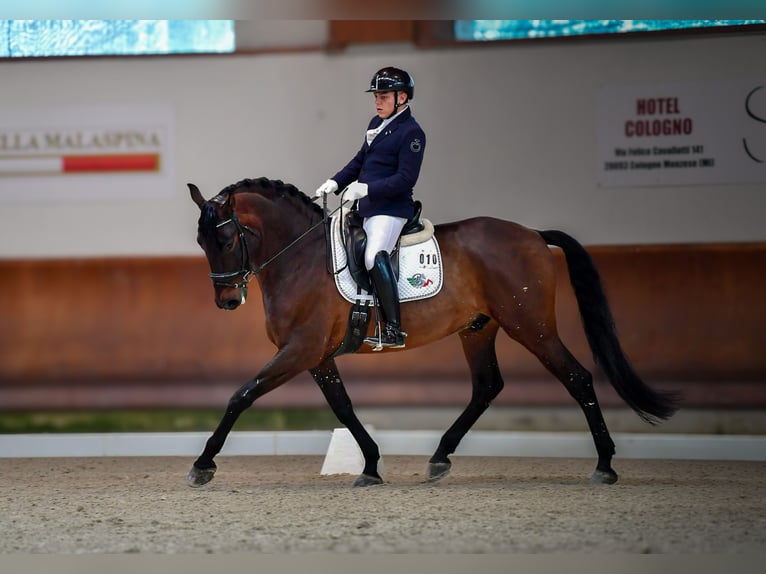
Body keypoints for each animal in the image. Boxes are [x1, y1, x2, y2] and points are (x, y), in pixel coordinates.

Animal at [186, 177, 679, 488]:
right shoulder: (318, 356)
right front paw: (370, 465)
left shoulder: (300, 350)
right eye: (201, 243)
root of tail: (533, 235)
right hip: (478, 329)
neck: (300, 258)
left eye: (226, 240)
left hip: (532, 326)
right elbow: (343, 408)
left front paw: (203, 464)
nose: (227, 301)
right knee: (487, 386)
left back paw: (605, 465)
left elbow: (242, 395)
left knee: (577, 378)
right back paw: (440, 457)